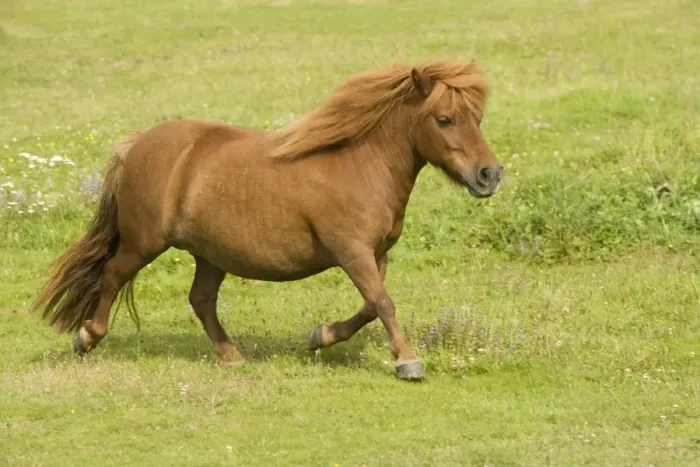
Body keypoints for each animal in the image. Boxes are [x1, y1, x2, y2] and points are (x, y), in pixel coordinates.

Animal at [33, 59, 503, 381]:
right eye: (445, 119)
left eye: (478, 119)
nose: (490, 175)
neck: (359, 166)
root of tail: (138, 143)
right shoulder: (352, 251)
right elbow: (384, 303)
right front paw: (408, 362)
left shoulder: (374, 254)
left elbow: (372, 305)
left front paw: (320, 336)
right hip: (143, 242)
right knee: (113, 275)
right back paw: (88, 337)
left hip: (210, 254)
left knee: (201, 300)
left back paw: (231, 356)